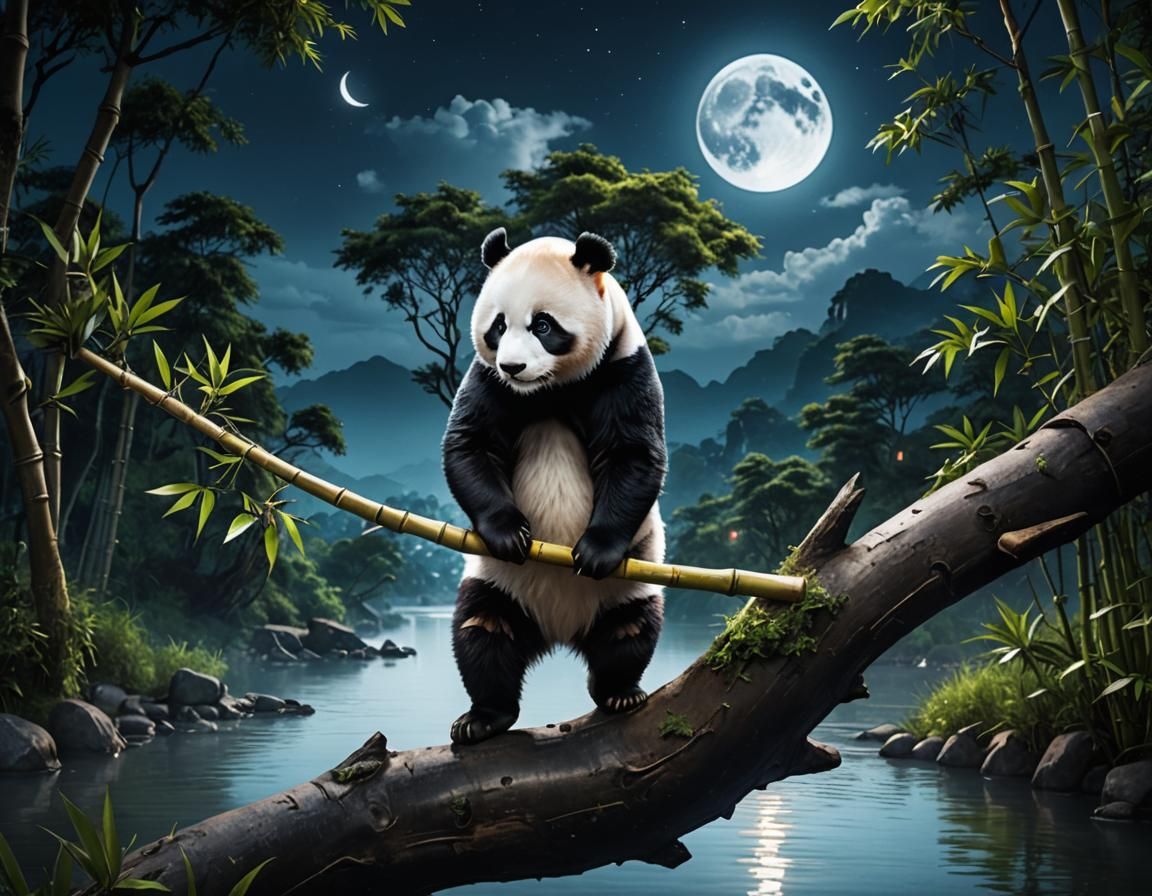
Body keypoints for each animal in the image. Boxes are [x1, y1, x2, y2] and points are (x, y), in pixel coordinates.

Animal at [442, 227, 667, 745]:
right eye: (498, 326)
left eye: (543, 325)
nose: (513, 367)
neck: (549, 388)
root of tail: (562, 629)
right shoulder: (486, 379)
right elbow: (470, 444)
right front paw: (510, 534)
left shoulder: (624, 369)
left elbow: (633, 454)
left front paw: (595, 551)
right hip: (496, 583)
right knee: (482, 633)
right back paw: (484, 717)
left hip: (631, 583)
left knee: (629, 633)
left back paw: (619, 693)